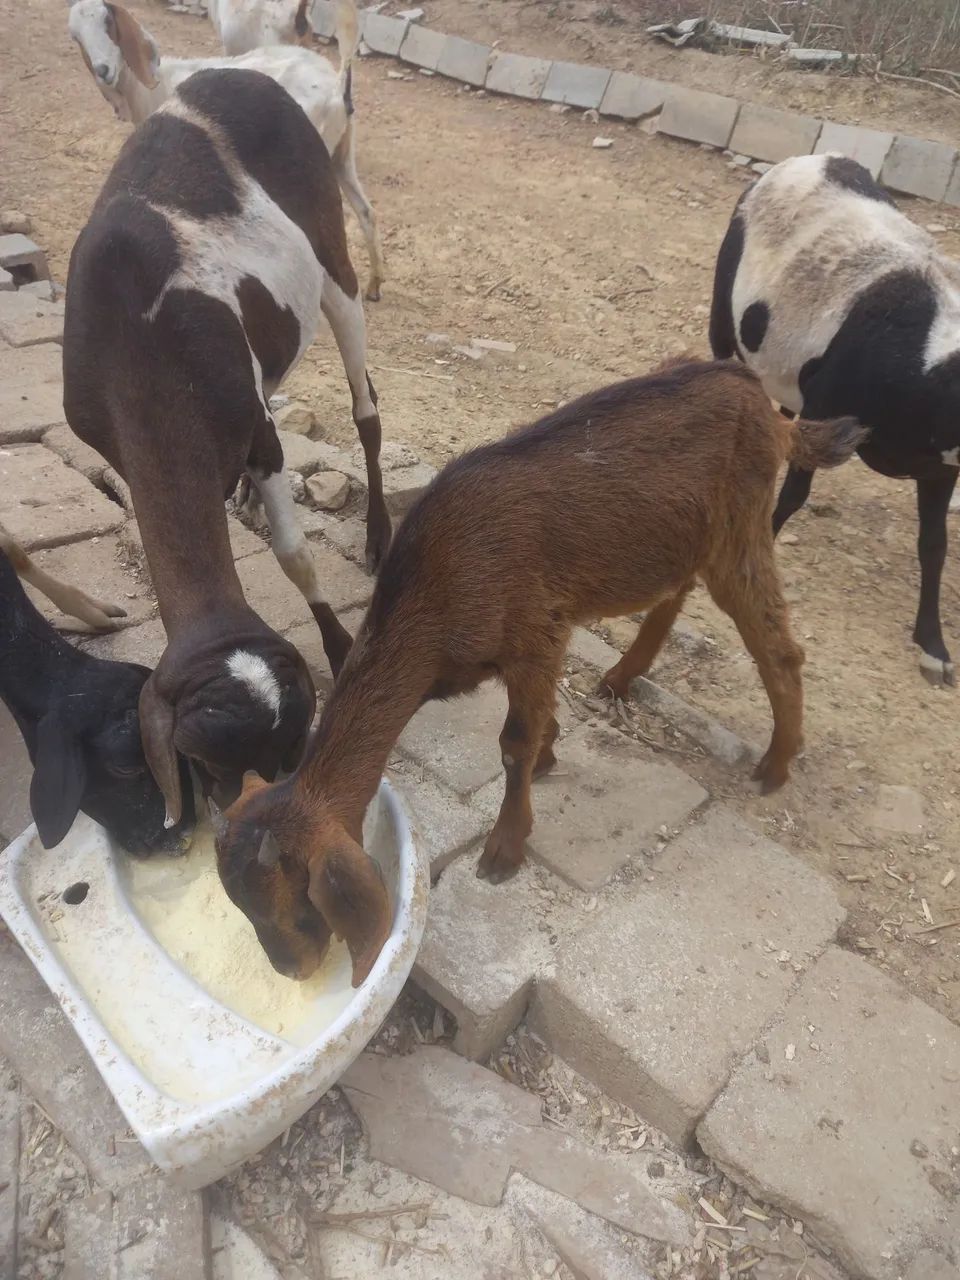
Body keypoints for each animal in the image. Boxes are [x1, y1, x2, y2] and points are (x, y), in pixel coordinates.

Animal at [63, 67, 391, 829]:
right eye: (203, 762)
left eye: (292, 748)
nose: (243, 814)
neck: (137, 346)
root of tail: (241, 73)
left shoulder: (260, 432)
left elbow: (295, 554)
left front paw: (339, 647)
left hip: (331, 252)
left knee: (365, 406)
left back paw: (376, 531)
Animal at [67, 0, 385, 300]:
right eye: (75, 36)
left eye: (108, 22)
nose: (104, 71)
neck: (154, 87)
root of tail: (337, 85)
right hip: (342, 153)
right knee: (366, 212)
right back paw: (374, 285)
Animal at [214, 358, 866, 986]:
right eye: (244, 910)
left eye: (301, 908)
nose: (292, 972)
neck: (437, 593)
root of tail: (766, 405)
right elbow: (535, 726)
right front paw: (551, 753)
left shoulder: (536, 631)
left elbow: (512, 745)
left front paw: (505, 848)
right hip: (684, 537)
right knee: (675, 592)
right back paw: (620, 679)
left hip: (741, 526)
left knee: (777, 645)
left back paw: (775, 765)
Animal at [711, 152, 960, 687]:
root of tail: (815, 158)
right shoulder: (824, 407)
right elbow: (793, 495)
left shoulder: (940, 466)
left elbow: (934, 544)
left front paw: (933, 645)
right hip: (724, 323)